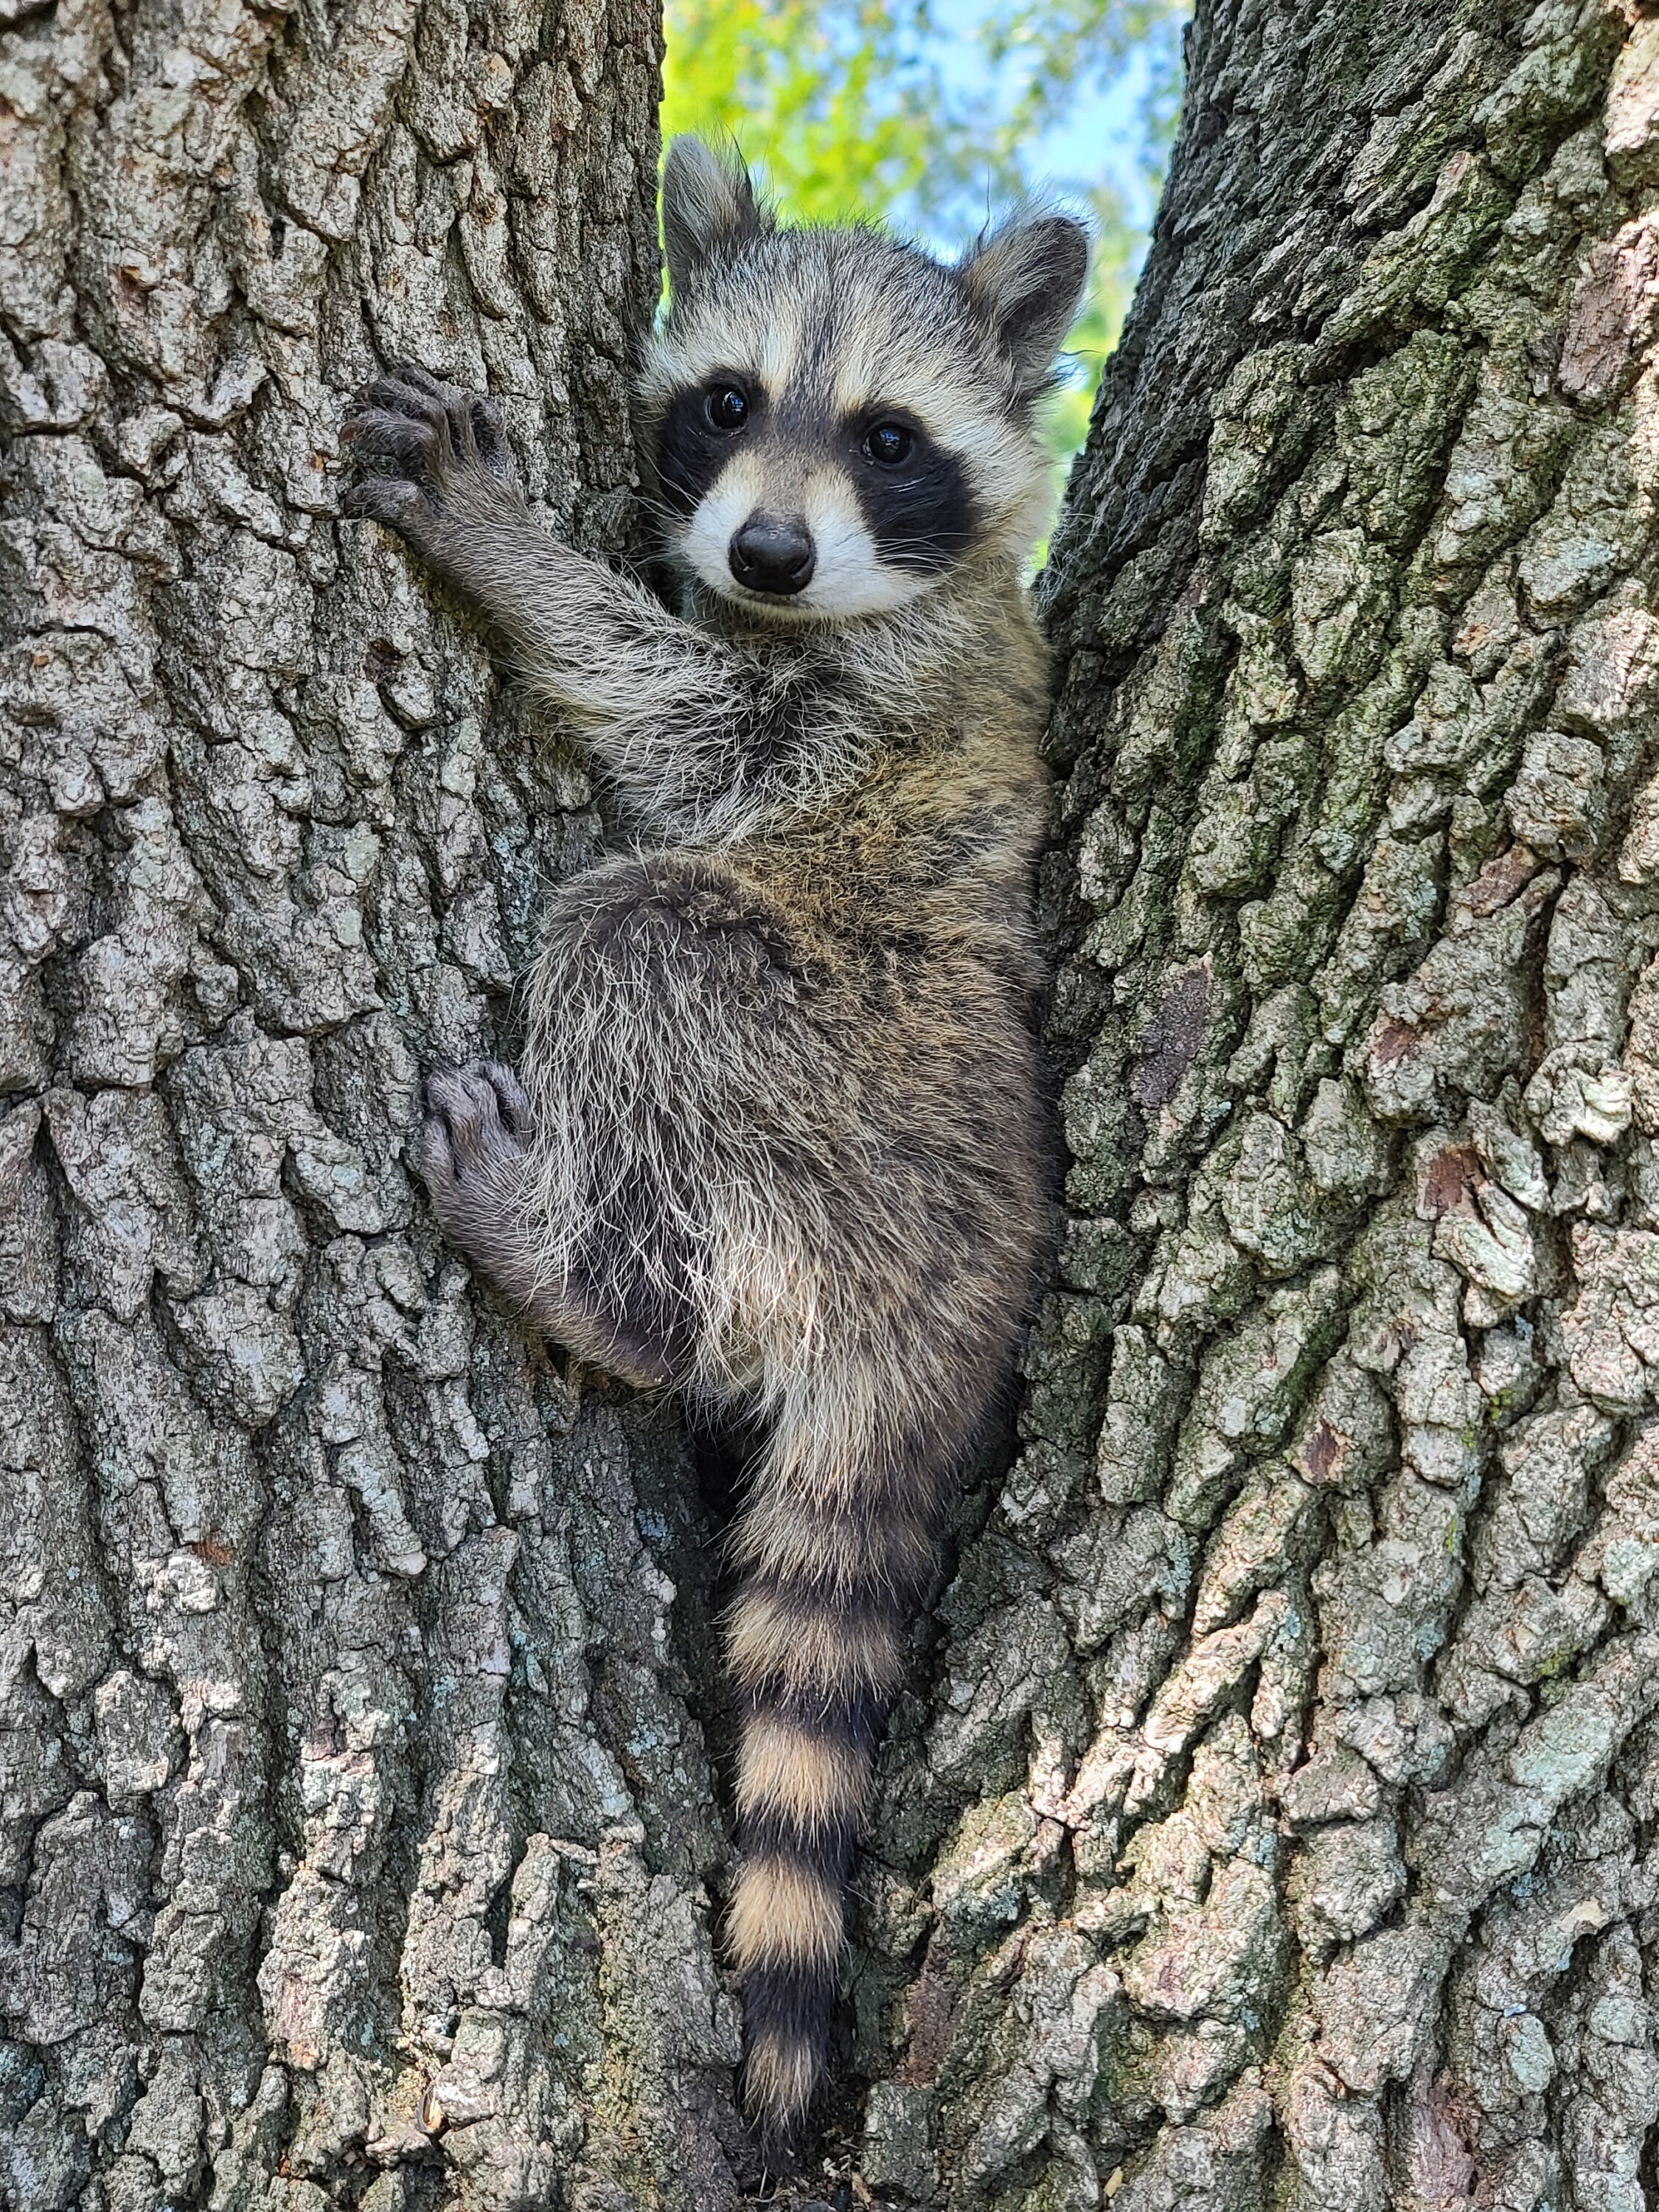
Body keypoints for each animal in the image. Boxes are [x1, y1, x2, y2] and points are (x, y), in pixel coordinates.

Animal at [345, 138, 1084, 2159]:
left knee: (641, 937)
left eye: (889, 438)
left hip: (829, 1070)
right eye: (732, 405)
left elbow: (687, 723)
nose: (763, 552)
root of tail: (965, 1293)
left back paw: (586, 1273)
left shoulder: (865, 700)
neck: (815, 605)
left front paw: (507, 548)